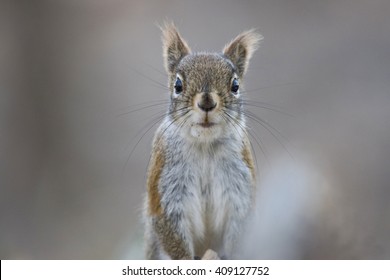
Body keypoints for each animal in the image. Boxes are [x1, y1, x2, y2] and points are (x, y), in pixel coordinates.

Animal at [143, 22, 262, 260]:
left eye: (235, 85)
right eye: (178, 85)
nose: (207, 102)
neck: (205, 145)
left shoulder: (239, 186)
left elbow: (240, 226)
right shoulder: (166, 188)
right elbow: (169, 230)